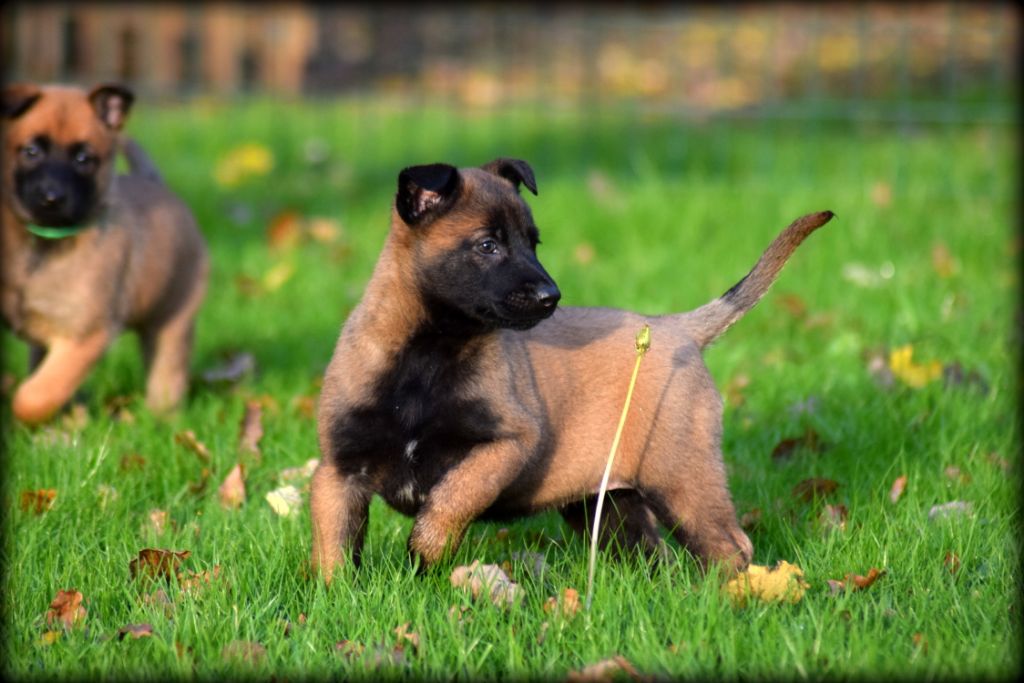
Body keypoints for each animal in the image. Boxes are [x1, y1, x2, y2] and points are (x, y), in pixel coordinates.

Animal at [1, 83, 208, 424]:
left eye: (84, 158)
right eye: (31, 151)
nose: (52, 197)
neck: (43, 245)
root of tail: (156, 183)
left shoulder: (86, 337)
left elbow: (35, 396)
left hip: (172, 321)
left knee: (168, 374)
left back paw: (161, 420)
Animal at [311, 158, 832, 581]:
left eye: (533, 243)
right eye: (488, 245)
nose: (551, 297)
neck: (427, 357)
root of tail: (677, 328)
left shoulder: (507, 443)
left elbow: (454, 495)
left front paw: (426, 549)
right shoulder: (338, 473)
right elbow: (331, 552)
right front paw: (336, 601)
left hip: (681, 477)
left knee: (729, 546)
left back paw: (727, 597)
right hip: (609, 504)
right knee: (654, 553)